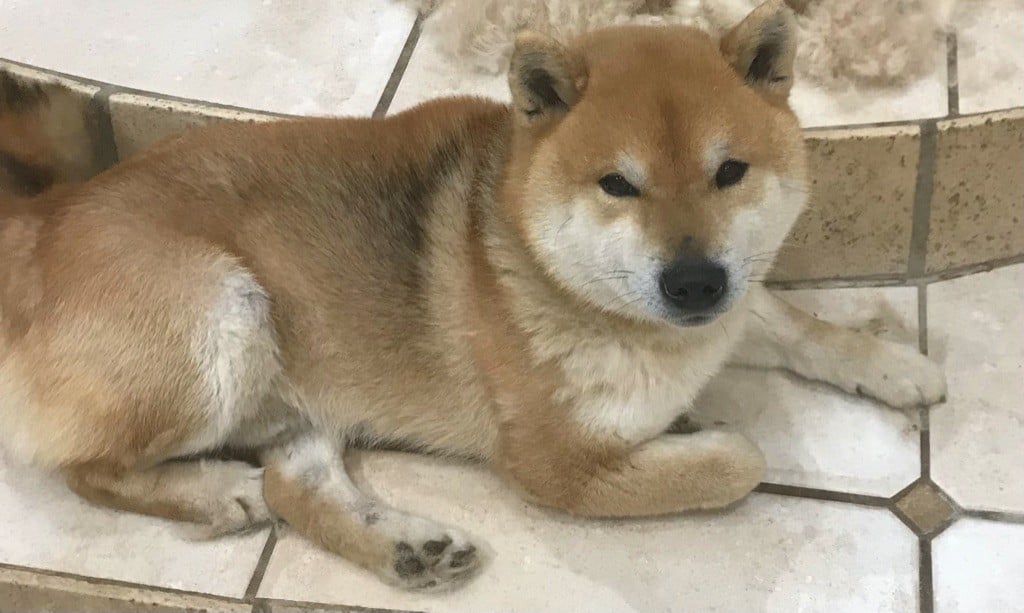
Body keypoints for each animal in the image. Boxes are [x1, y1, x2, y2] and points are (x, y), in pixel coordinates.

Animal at [0, 0, 945, 591]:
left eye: (730, 172)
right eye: (618, 185)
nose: (693, 280)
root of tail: (41, 221)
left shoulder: (738, 299)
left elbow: (803, 326)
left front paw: (897, 364)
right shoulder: (550, 463)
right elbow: (737, 461)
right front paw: (698, 431)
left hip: (291, 371)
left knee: (295, 484)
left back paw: (406, 548)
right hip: (224, 317)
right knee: (92, 471)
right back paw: (208, 492)